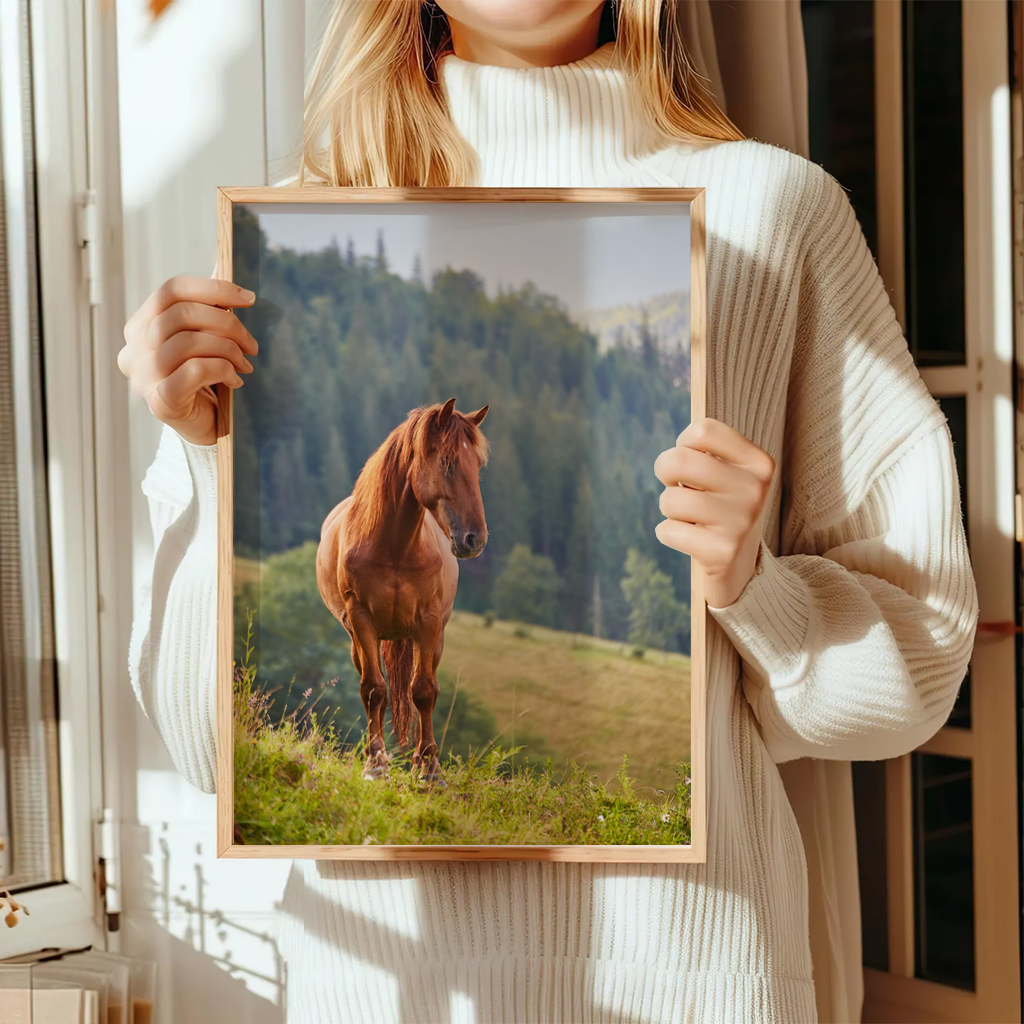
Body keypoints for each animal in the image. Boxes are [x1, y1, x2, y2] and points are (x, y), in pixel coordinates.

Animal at [316, 398, 490, 782]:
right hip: (360, 639)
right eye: (448, 462)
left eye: (479, 465)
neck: (394, 547)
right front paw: (376, 763)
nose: (475, 540)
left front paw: (429, 769)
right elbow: (374, 689)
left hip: (434, 638)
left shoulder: (428, 621)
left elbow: (423, 692)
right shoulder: (361, 619)